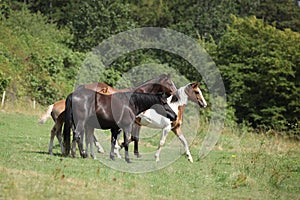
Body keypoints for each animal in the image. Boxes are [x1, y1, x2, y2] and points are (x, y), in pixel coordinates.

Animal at [39, 74, 177, 157]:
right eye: (170, 83)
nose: (176, 95)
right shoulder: (133, 123)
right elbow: (133, 138)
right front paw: (125, 152)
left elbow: (123, 138)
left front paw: (117, 151)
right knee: (74, 134)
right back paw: (83, 152)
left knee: (63, 133)